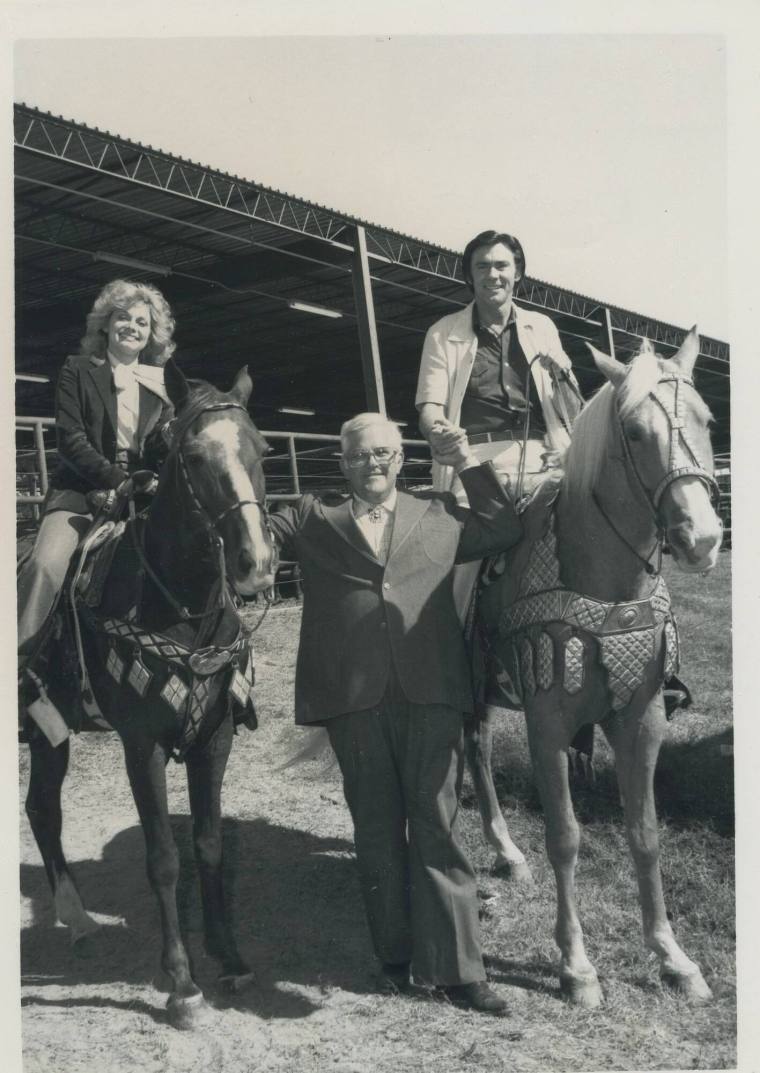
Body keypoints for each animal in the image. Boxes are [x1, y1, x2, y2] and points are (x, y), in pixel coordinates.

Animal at [19, 362, 276, 1030]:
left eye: (262, 449)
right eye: (192, 456)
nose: (257, 563)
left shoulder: (214, 738)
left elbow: (209, 846)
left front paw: (229, 958)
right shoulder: (143, 745)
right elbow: (163, 858)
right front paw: (183, 984)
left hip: (49, 736)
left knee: (42, 809)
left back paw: (78, 919)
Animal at [472, 326, 721, 1004]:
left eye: (708, 419)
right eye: (634, 432)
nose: (703, 538)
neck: (601, 579)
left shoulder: (642, 720)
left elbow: (646, 834)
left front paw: (673, 957)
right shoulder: (548, 726)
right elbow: (565, 837)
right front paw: (576, 966)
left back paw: (505, 853)